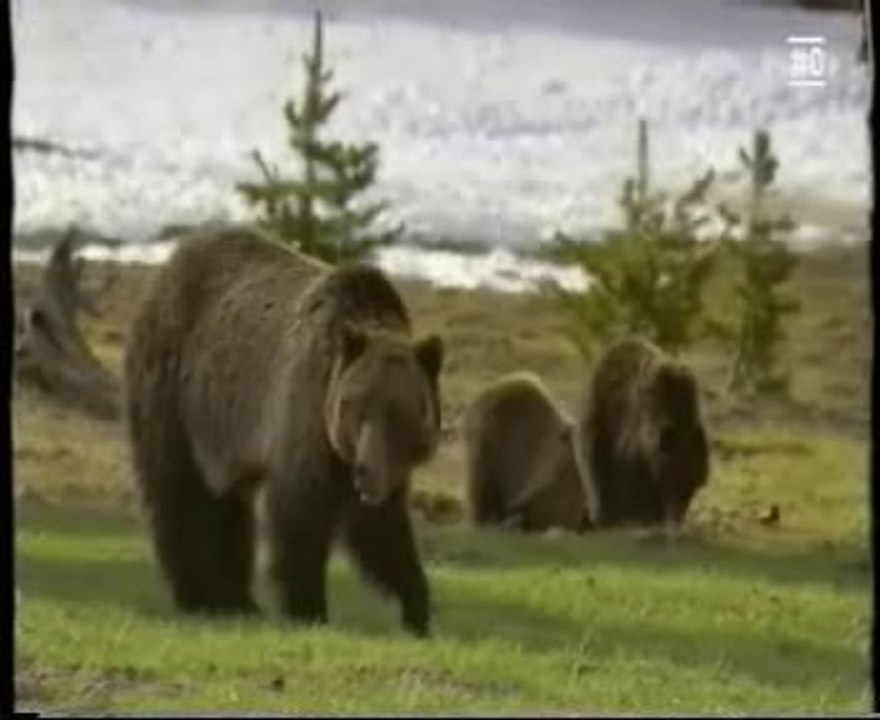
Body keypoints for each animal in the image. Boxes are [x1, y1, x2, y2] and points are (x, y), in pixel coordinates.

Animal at [123, 225, 444, 638]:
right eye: (354, 406)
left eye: (399, 412)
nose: (366, 471)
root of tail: (169, 264)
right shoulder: (303, 421)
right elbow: (298, 519)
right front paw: (309, 610)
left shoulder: (385, 471)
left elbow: (385, 535)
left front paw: (416, 610)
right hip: (174, 393)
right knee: (178, 490)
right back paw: (198, 596)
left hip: (221, 434)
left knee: (228, 507)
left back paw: (236, 600)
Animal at [574, 337, 709, 530]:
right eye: (673, 484)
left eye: (691, 489)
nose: (676, 521)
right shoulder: (632, 434)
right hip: (598, 417)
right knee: (594, 463)